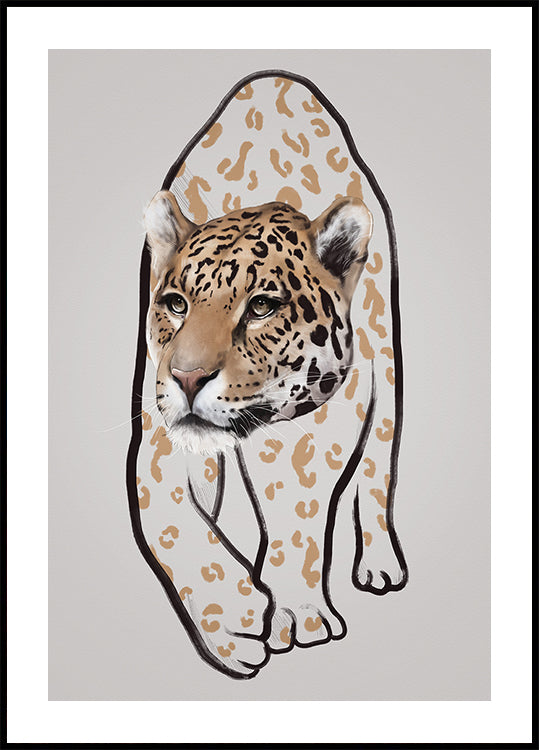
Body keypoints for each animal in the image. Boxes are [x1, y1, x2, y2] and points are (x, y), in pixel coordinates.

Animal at [127, 70, 407, 679]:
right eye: (176, 304)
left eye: (261, 307)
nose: (187, 378)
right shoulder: (156, 434)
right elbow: (172, 523)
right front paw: (233, 618)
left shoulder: (322, 422)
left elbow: (299, 518)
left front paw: (298, 614)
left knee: (377, 471)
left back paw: (380, 563)